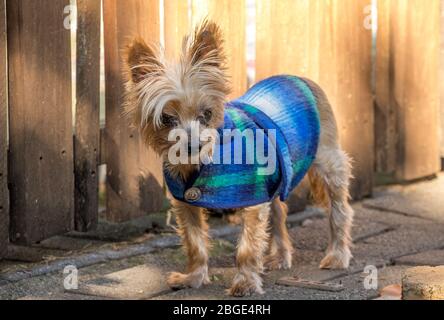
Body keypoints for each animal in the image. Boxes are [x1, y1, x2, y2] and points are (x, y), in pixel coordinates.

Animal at [125, 20, 354, 296]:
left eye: (206, 114)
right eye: (167, 119)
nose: (194, 145)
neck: (202, 163)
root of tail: (297, 78)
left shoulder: (253, 199)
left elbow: (247, 247)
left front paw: (245, 282)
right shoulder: (186, 203)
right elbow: (194, 242)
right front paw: (194, 277)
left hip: (328, 162)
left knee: (339, 210)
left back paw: (337, 255)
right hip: (275, 177)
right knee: (279, 212)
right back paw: (281, 256)